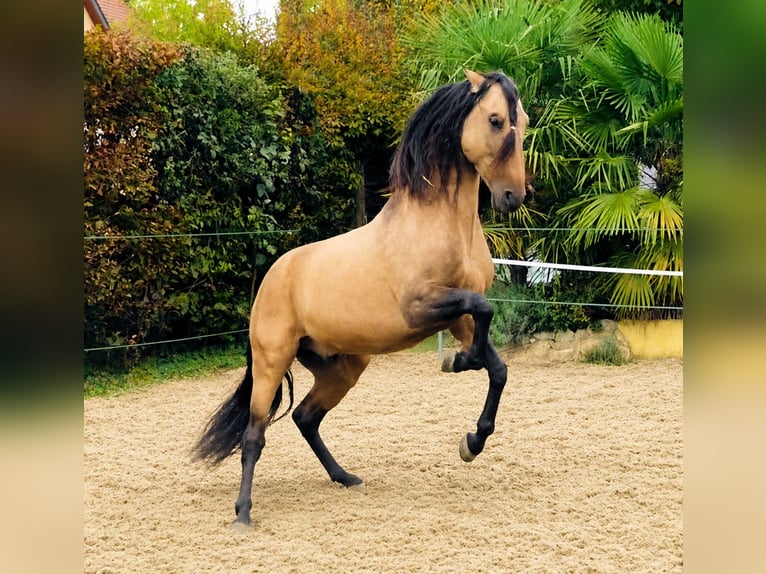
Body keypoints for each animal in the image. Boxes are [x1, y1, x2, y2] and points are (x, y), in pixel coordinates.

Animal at [193, 69, 531, 529]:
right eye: (495, 120)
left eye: (524, 121)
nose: (514, 197)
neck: (438, 224)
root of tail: (270, 280)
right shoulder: (421, 307)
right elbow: (486, 314)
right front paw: (457, 362)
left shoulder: (456, 316)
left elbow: (496, 365)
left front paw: (472, 440)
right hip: (271, 363)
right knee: (254, 435)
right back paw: (243, 513)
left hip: (343, 367)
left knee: (305, 417)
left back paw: (344, 477)